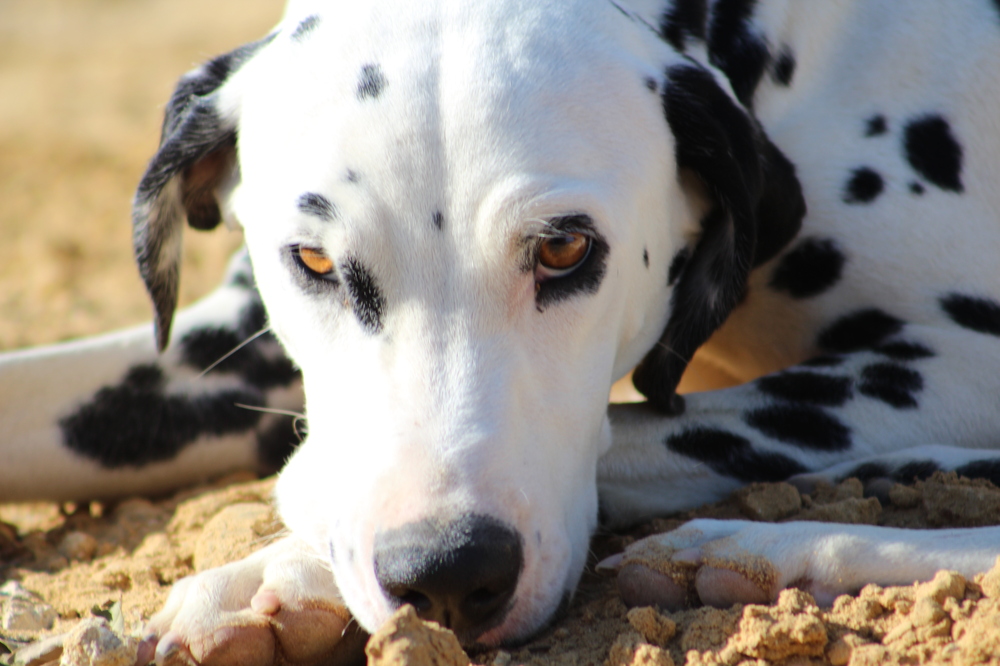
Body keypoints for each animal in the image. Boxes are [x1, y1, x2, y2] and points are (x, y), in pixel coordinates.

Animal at [1, 0, 1000, 660]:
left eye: (564, 248)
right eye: (314, 261)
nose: (446, 576)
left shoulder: (961, 365)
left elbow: (636, 436)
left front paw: (275, 572)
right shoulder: (222, 349)